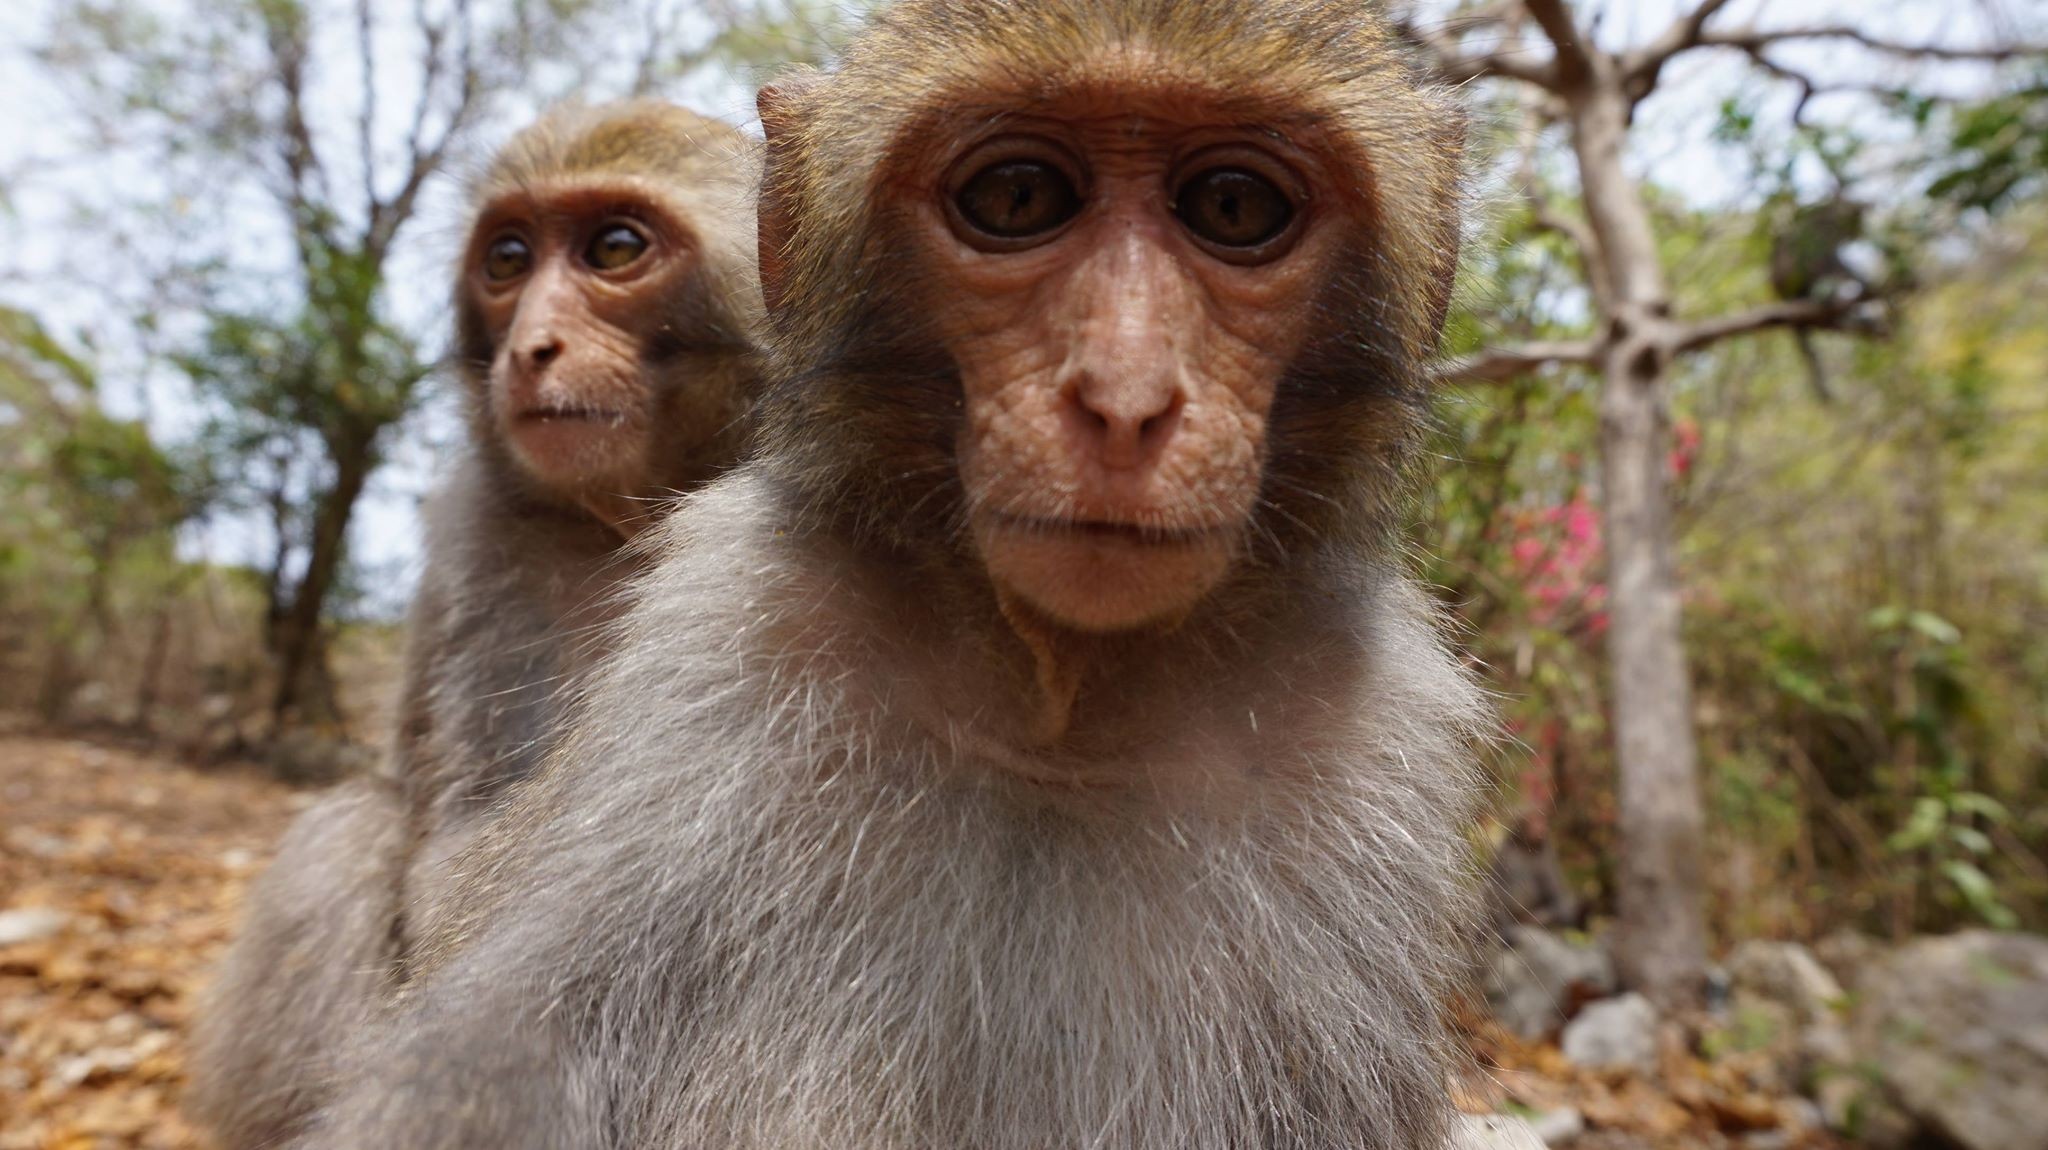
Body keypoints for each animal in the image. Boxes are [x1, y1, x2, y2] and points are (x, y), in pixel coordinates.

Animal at [180, 100, 761, 1145]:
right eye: (508, 261)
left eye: (615, 249)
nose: (531, 347)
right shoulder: (485, 543)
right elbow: (454, 873)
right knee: (351, 832)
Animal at [292, 4, 1507, 1137]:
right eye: (1016, 197)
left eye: (1235, 210)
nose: (1123, 399)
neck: (1056, 707)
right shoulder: (719, 645)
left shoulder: (1372, 742)